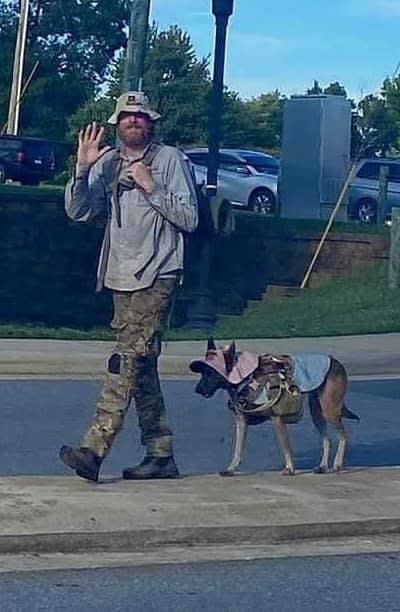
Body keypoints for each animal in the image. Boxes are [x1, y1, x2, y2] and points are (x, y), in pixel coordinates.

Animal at [190, 340, 360, 478]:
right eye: (203, 372)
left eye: (211, 373)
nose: (197, 390)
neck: (247, 378)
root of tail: (335, 360)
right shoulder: (241, 422)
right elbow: (237, 449)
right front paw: (231, 469)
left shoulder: (277, 420)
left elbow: (286, 447)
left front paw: (290, 469)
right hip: (317, 412)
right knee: (327, 439)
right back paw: (323, 466)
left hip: (329, 409)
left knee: (343, 435)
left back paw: (337, 463)